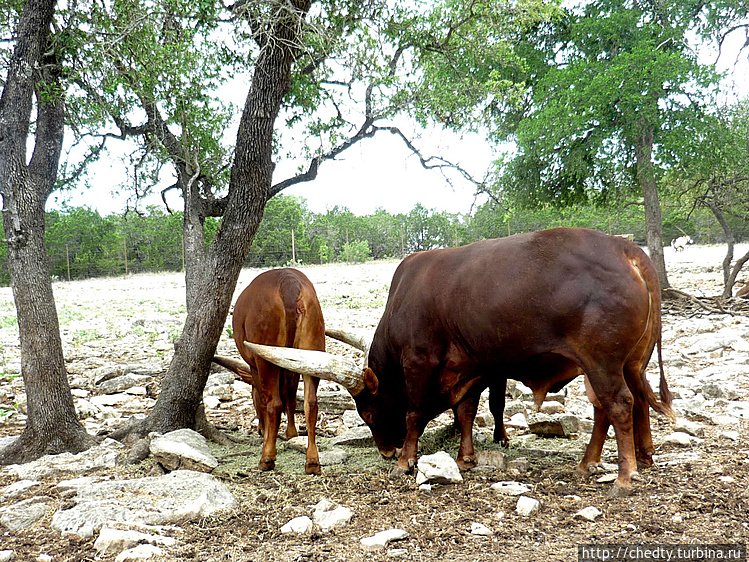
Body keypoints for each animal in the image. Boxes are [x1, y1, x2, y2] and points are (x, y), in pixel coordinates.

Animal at [213, 266, 324, 472]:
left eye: (251, 397)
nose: (258, 430)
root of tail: (288, 281)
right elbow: (291, 397)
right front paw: (291, 433)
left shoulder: (255, 366)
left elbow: (265, 401)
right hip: (313, 352)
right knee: (311, 403)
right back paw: (312, 460)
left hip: (265, 359)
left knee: (274, 404)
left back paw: (267, 458)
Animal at [248, 230, 676, 492]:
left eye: (367, 412)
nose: (385, 451)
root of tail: (627, 249)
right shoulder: (471, 366)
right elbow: (467, 410)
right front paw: (465, 457)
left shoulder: (419, 362)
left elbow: (415, 413)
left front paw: (406, 460)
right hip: (616, 364)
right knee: (613, 406)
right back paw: (590, 464)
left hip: (602, 361)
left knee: (619, 404)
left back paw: (625, 475)